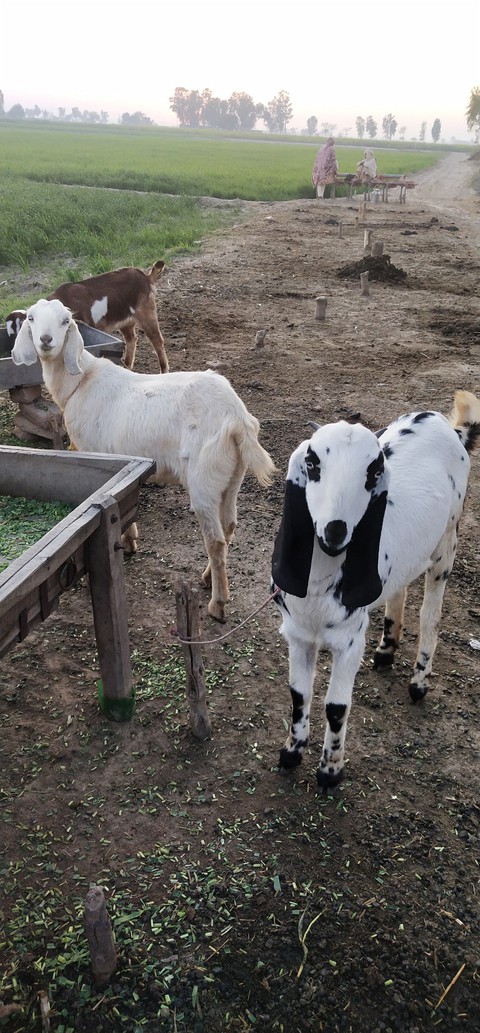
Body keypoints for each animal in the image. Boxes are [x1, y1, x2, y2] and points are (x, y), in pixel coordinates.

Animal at [12, 298, 275, 621]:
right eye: (32, 319)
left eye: (65, 321)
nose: (46, 341)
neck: (80, 383)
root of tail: (237, 418)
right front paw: (128, 540)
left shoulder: (98, 452)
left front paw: (127, 540)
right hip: (231, 476)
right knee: (228, 527)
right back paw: (207, 578)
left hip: (203, 478)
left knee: (214, 540)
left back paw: (218, 602)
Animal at [271, 393, 480, 788]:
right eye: (311, 462)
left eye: (372, 473)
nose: (335, 531)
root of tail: (446, 425)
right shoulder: (298, 633)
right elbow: (297, 694)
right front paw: (291, 753)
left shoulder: (350, 639)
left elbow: (336, 708)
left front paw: (330, 771)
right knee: (400, 585)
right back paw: (386, 650)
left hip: (448, 539)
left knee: (431, 612)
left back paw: (418, 682)